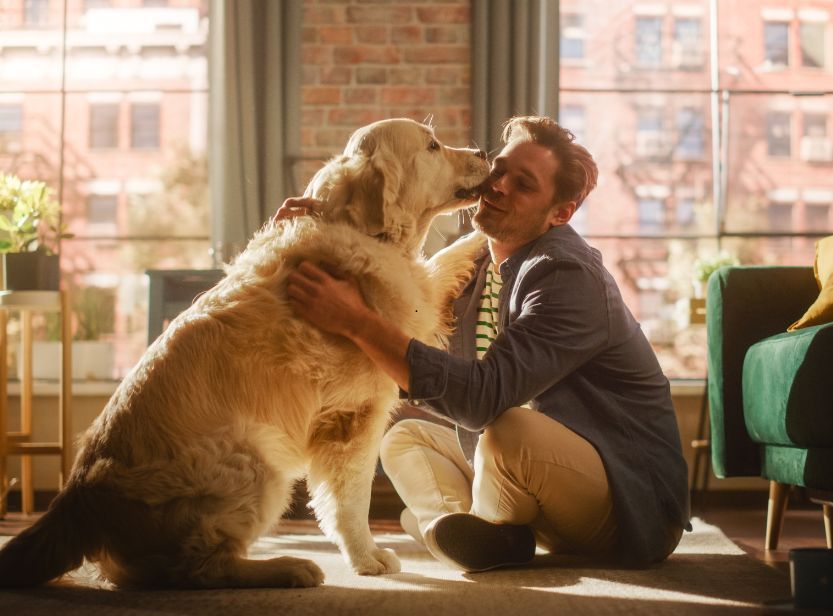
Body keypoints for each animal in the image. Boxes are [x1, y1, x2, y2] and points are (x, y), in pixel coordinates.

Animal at [0, 118, 488, 588]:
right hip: (257, 460)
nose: (483, 151)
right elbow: (350, 501)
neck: (362, 232)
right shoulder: (354, 418)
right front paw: (367, 558)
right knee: (197, 568)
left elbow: (443, 260)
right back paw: (288, 567)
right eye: (432, 146)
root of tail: (79, 497)